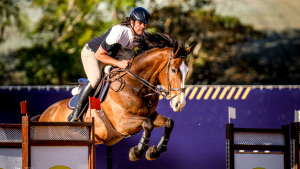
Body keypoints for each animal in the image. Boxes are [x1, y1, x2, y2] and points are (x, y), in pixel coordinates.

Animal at [37, 33, 195, 161]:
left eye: (187, 71)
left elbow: (168, 122)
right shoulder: (122, 122)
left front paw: (154, 152)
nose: (180, 104)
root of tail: (43, 115)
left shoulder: (150, 115)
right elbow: (147, 125)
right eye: (173, 70)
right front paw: (136, 152)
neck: (136, 85)